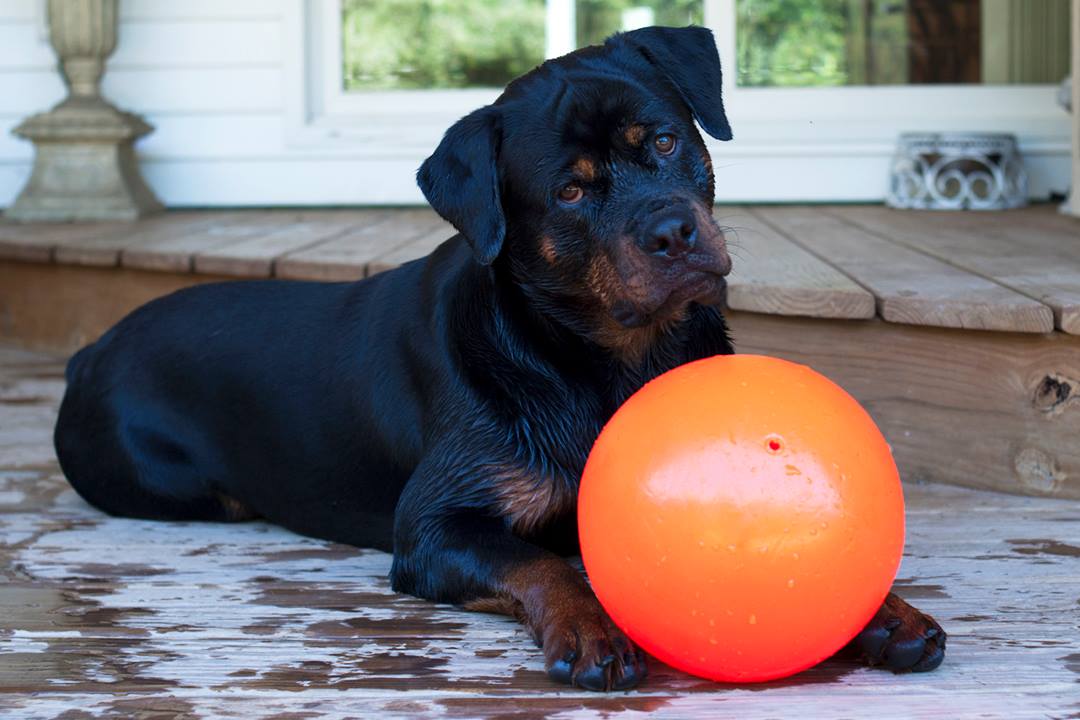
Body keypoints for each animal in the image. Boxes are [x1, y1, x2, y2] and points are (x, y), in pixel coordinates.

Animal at [52, 26, 946, 690]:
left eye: (663, 141)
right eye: (571, 193)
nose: (672, 232)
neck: (606, 360)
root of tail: (88, 351)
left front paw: (885, 614)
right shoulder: (434, 525)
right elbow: (542, 563)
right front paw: (590, 629)